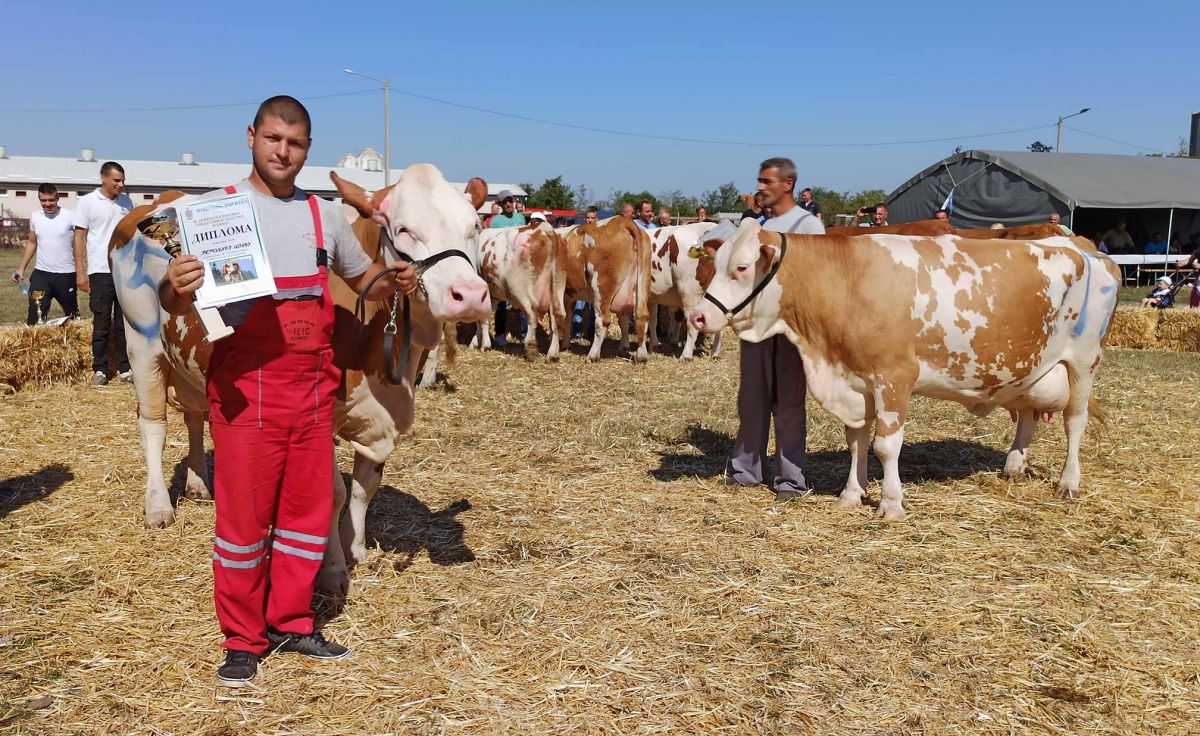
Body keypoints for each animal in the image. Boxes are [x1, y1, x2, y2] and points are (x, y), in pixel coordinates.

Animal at [691, 218, 1118, 516]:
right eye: (716, 262)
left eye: (741, 268)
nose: (698, 316)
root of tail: (1085, 246)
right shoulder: (856, 380)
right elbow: (856, 440)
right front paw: (852, 493)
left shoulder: (893, 377)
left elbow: (885, 445)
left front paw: (891, 503)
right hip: (1030, 365)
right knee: (1027, 414)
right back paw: (1013, 465)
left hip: (1084, 361)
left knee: (1074, 421)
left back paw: (1069, 483)